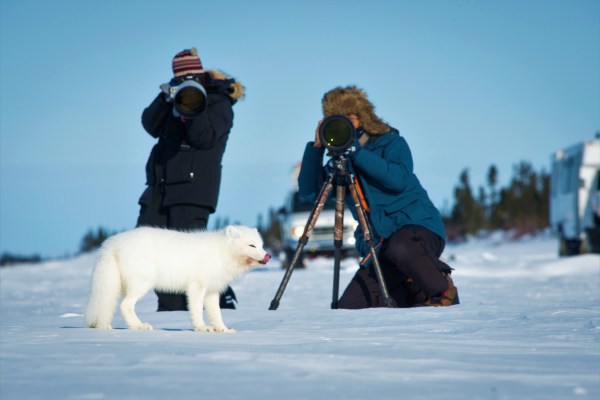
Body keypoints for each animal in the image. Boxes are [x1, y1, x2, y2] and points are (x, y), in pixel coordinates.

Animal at [84, 227, 270, 332]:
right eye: (251, 245)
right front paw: (202, 328)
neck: (222, 252)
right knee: (125, 305)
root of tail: (112, 242)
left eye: (261, 245)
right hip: (142, 284)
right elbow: (196, 311)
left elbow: (216, 314)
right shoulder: (197, 287)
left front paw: (223, 329)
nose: (267, 255)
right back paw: (139, 326)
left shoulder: (212, 291)